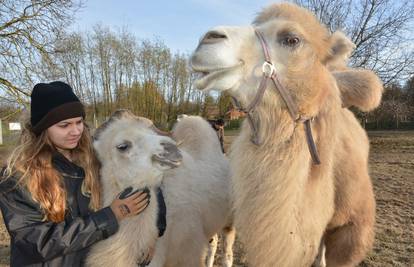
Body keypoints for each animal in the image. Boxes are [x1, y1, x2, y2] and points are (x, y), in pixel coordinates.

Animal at [86, 110, 236, 266]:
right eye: (122, 146)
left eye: (151, 131)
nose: (172, 148)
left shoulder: (189, 251)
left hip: (230, 218)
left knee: (227, 251)